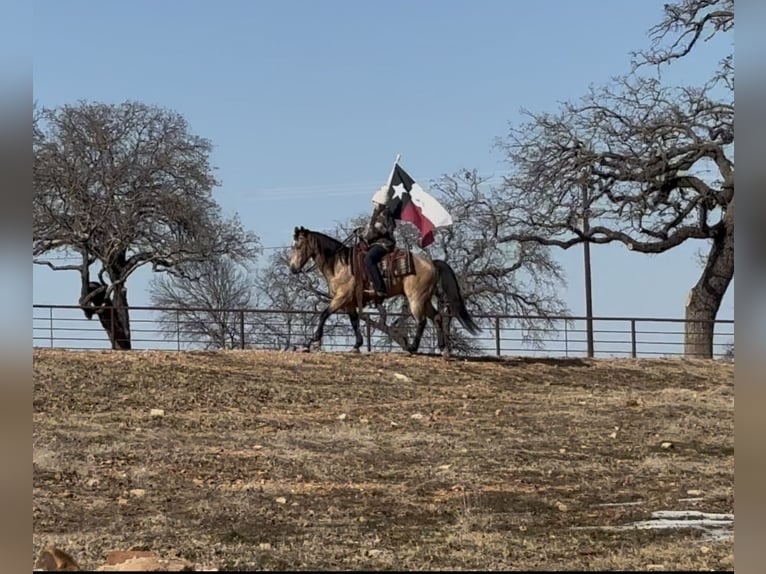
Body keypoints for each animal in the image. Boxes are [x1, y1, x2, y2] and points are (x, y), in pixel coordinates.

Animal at [288, 226, 481, 357]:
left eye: (298, 246)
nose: (293, 268)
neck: (340, 264)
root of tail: (431, 263)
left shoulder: (341, 298)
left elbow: (324, 314)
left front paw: (312, 341)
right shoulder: (349, 302)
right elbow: (354, 322)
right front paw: (357, 345)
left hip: (416, 298)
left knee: (422, 321)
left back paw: (412, 348)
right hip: (425, 300)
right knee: (438, 318)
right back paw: (443, 350)